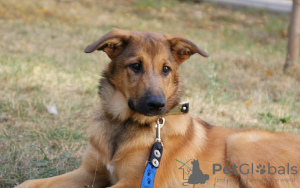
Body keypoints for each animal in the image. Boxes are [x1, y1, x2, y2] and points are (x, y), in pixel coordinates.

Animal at [15, 28, 300, 188]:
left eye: (166, 69)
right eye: (135, 66)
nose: (157, 105)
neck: (125, 125)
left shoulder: (132, 183)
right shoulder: (90, 172)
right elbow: (31, 183)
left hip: (241, 142)